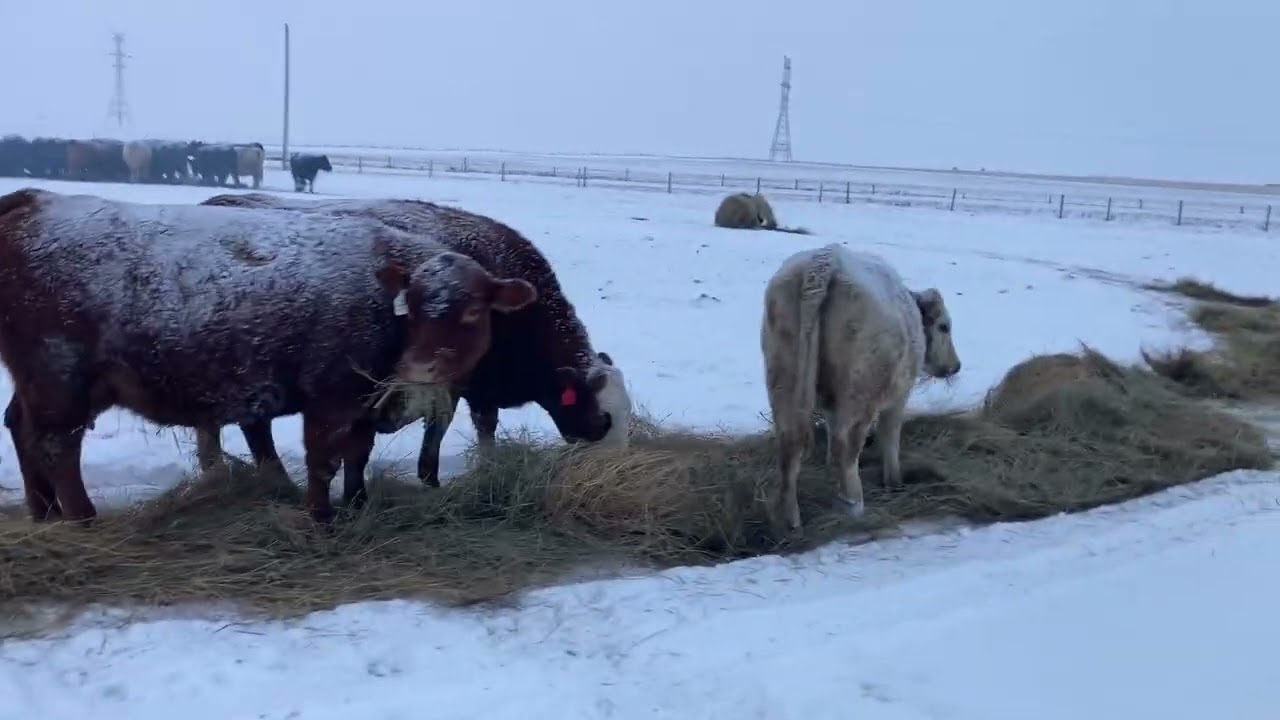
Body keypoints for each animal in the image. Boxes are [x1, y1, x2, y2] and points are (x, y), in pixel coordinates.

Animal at [0, 187, 538, 525]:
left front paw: (357, 503)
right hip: (60, 385)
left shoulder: (361, 407)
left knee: (23, 430)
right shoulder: (330, 400)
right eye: (417, 305)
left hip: (51, 387)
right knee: (58, 448)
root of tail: (32, 202)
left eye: (473, 310)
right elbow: (323, 459)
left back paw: (45, 512)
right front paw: (320, 516)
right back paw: (81, 519)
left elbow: (356, 455)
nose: (420, 368)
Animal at [196, 192, 633, 491]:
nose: (612, 473)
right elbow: (451, 428)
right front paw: (434, 479)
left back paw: (214, 473)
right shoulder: (456, 384)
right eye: (604, 419)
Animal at [760, 243, 961, 535]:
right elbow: (890, 436)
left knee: (790, 446)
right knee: (846, 447)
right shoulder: (899, 395)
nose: (955, 366)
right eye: (945, 326)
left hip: (783, 378)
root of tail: (824, 262)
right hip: (859, 393)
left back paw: (791, 521)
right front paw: (894, 482)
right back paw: (855, 507)